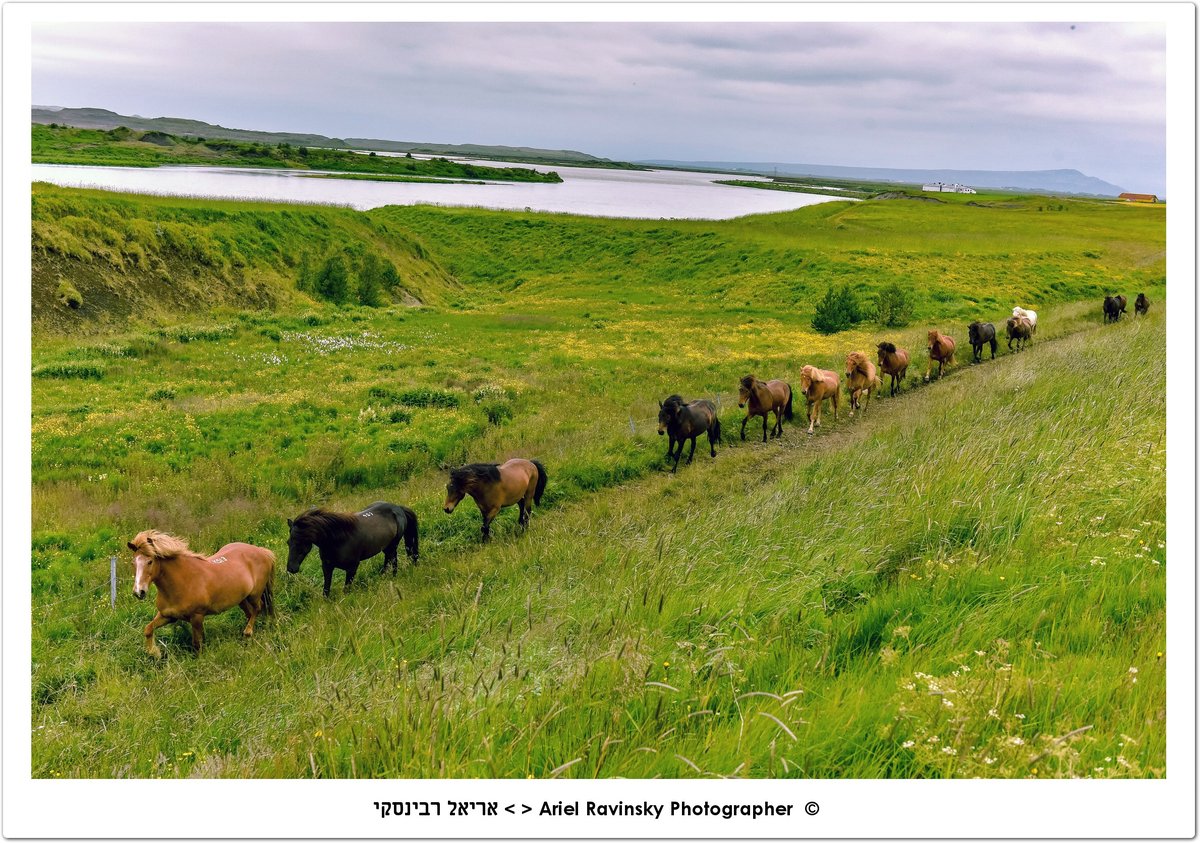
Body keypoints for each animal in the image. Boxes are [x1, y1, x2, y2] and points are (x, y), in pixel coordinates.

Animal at [127, 528, 276, 662]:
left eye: (150, 561)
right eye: (133, 563)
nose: (139, 592)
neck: (182, 582)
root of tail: (262, 551)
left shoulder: (197, 617)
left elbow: (197, 643)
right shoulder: (167, 616)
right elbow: (148, 629)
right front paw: (155, 653)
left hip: (254, 595)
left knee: (258, 608)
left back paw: (248, 632)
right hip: (242, 599)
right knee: (250, 613)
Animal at [286, 504, 422, 598]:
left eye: (301, 543)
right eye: (288, 542)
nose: (291, 568)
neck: (338, 539)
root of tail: (398, 508)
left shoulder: (352, 568)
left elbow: (346, 589)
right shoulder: (327, 567)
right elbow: (326, 590)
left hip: (393, 545)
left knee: (393, 560)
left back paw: (393, 577)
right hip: (386, 547)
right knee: (388, 559)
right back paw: (382, 576)